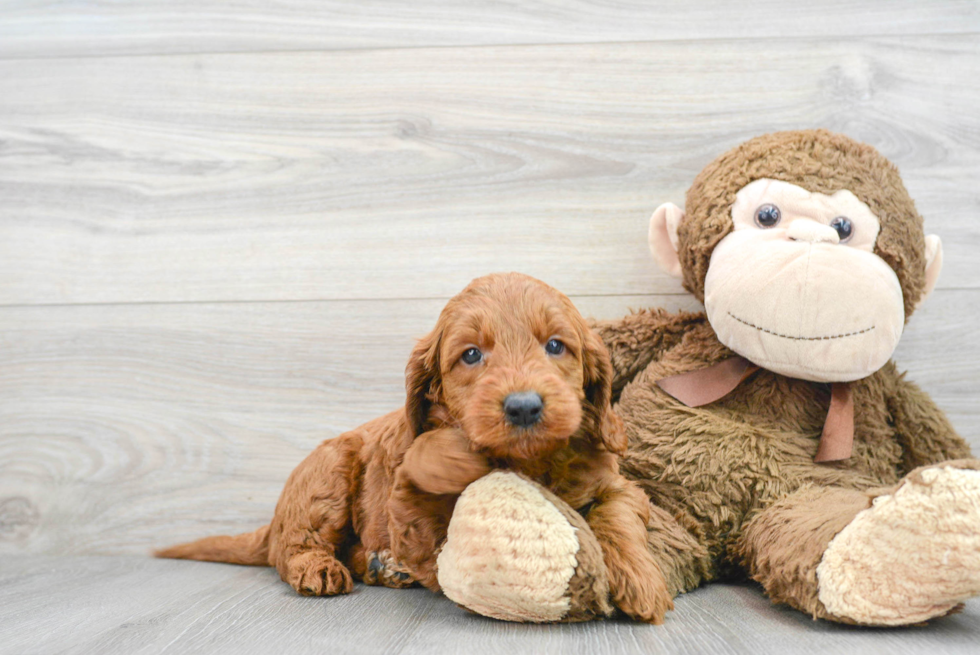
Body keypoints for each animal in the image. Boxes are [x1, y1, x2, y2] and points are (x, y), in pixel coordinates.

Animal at [155, 272, 672, 624]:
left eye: (556, 346)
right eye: (471, 354)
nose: (523, 407)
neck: (530, 460)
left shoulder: (617, 483)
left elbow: (619, 514)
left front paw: (642, 581)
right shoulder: (405, 499)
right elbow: (425, 480)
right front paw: (454, 457)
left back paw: (383, 567)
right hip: (327, 474)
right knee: (291, 549)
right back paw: (322, 568)